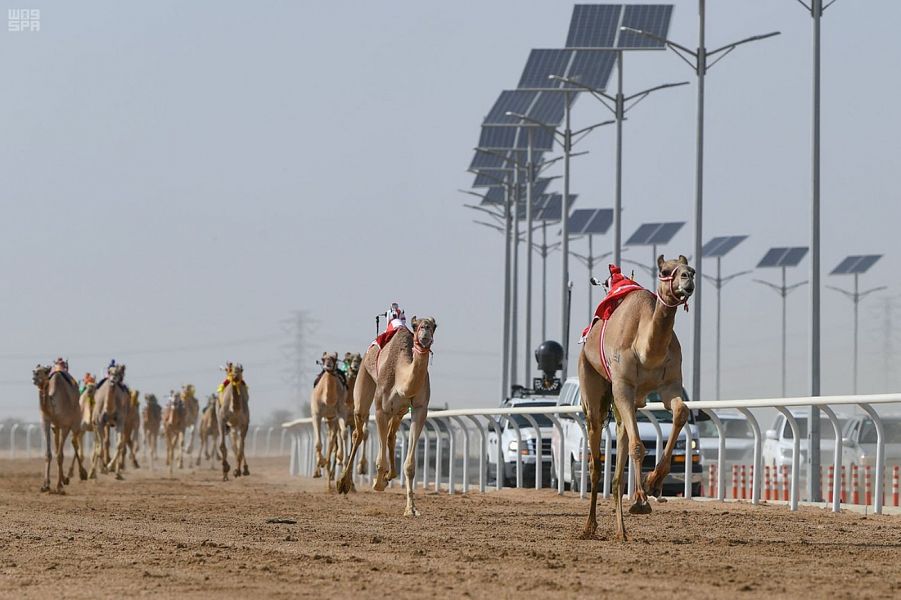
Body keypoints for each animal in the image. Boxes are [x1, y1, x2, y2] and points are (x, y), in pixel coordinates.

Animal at [312, 352, 350, 488]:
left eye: (334, 358)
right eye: (323, 359)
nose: (328, 366)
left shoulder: (341, 413)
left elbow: (344, 433)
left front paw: (343, 461)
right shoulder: (316, 414)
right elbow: (318, 442)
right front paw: (321, 461)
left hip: (332, 418)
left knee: (332, 438)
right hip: (329, 418)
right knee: (329, 438)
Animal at [338, 314, 436, 516]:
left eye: (434, 325)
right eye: (416, 325)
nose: (425, 332)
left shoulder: (420, 408)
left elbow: (410, 464)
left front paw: (411, 509)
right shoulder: (381, 409)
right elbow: (379, 458)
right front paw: (378, 482)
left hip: (400, 411)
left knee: (391, 436)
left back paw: (391, 474)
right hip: (363, 383)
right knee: (358, 432)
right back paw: (345, 483)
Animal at [576, 255, 696, 540]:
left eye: (692, 269)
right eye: (665, 270)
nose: (688, 279)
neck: (646, 350)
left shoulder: (670, 386)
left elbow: (680, 412)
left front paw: (653, 482)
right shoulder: (623, 387)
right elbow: (638, 445)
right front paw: (641, 499)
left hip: (622, 405)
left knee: (618, 463)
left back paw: (622, 532)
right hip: (592, 382)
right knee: (596, 460)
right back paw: (589, 527)